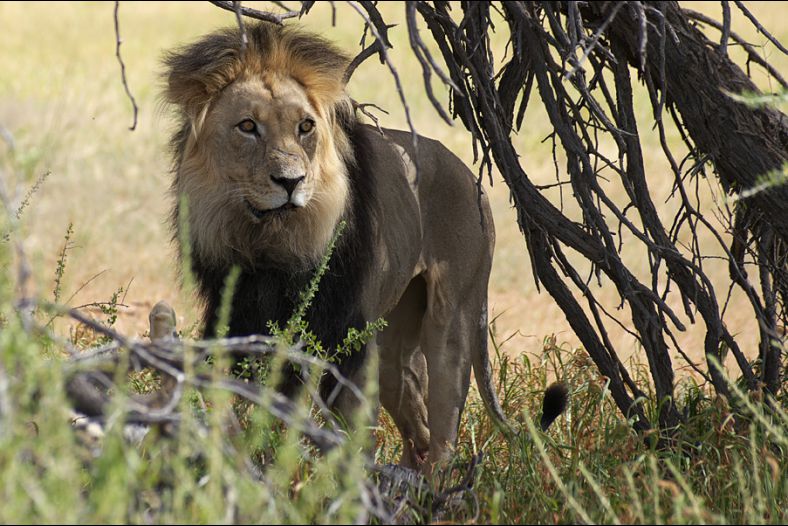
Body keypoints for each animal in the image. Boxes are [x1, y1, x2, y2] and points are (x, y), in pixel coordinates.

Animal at [162, 22, 566, 471]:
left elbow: (353, 442)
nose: (290, 181)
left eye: (305, 127)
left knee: (442, 440)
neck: (273, 247)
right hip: (394, 345)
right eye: (247, 126)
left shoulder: (346, 340)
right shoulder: (239, 327)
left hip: (452, 321)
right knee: (418, 432)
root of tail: (468, 173)